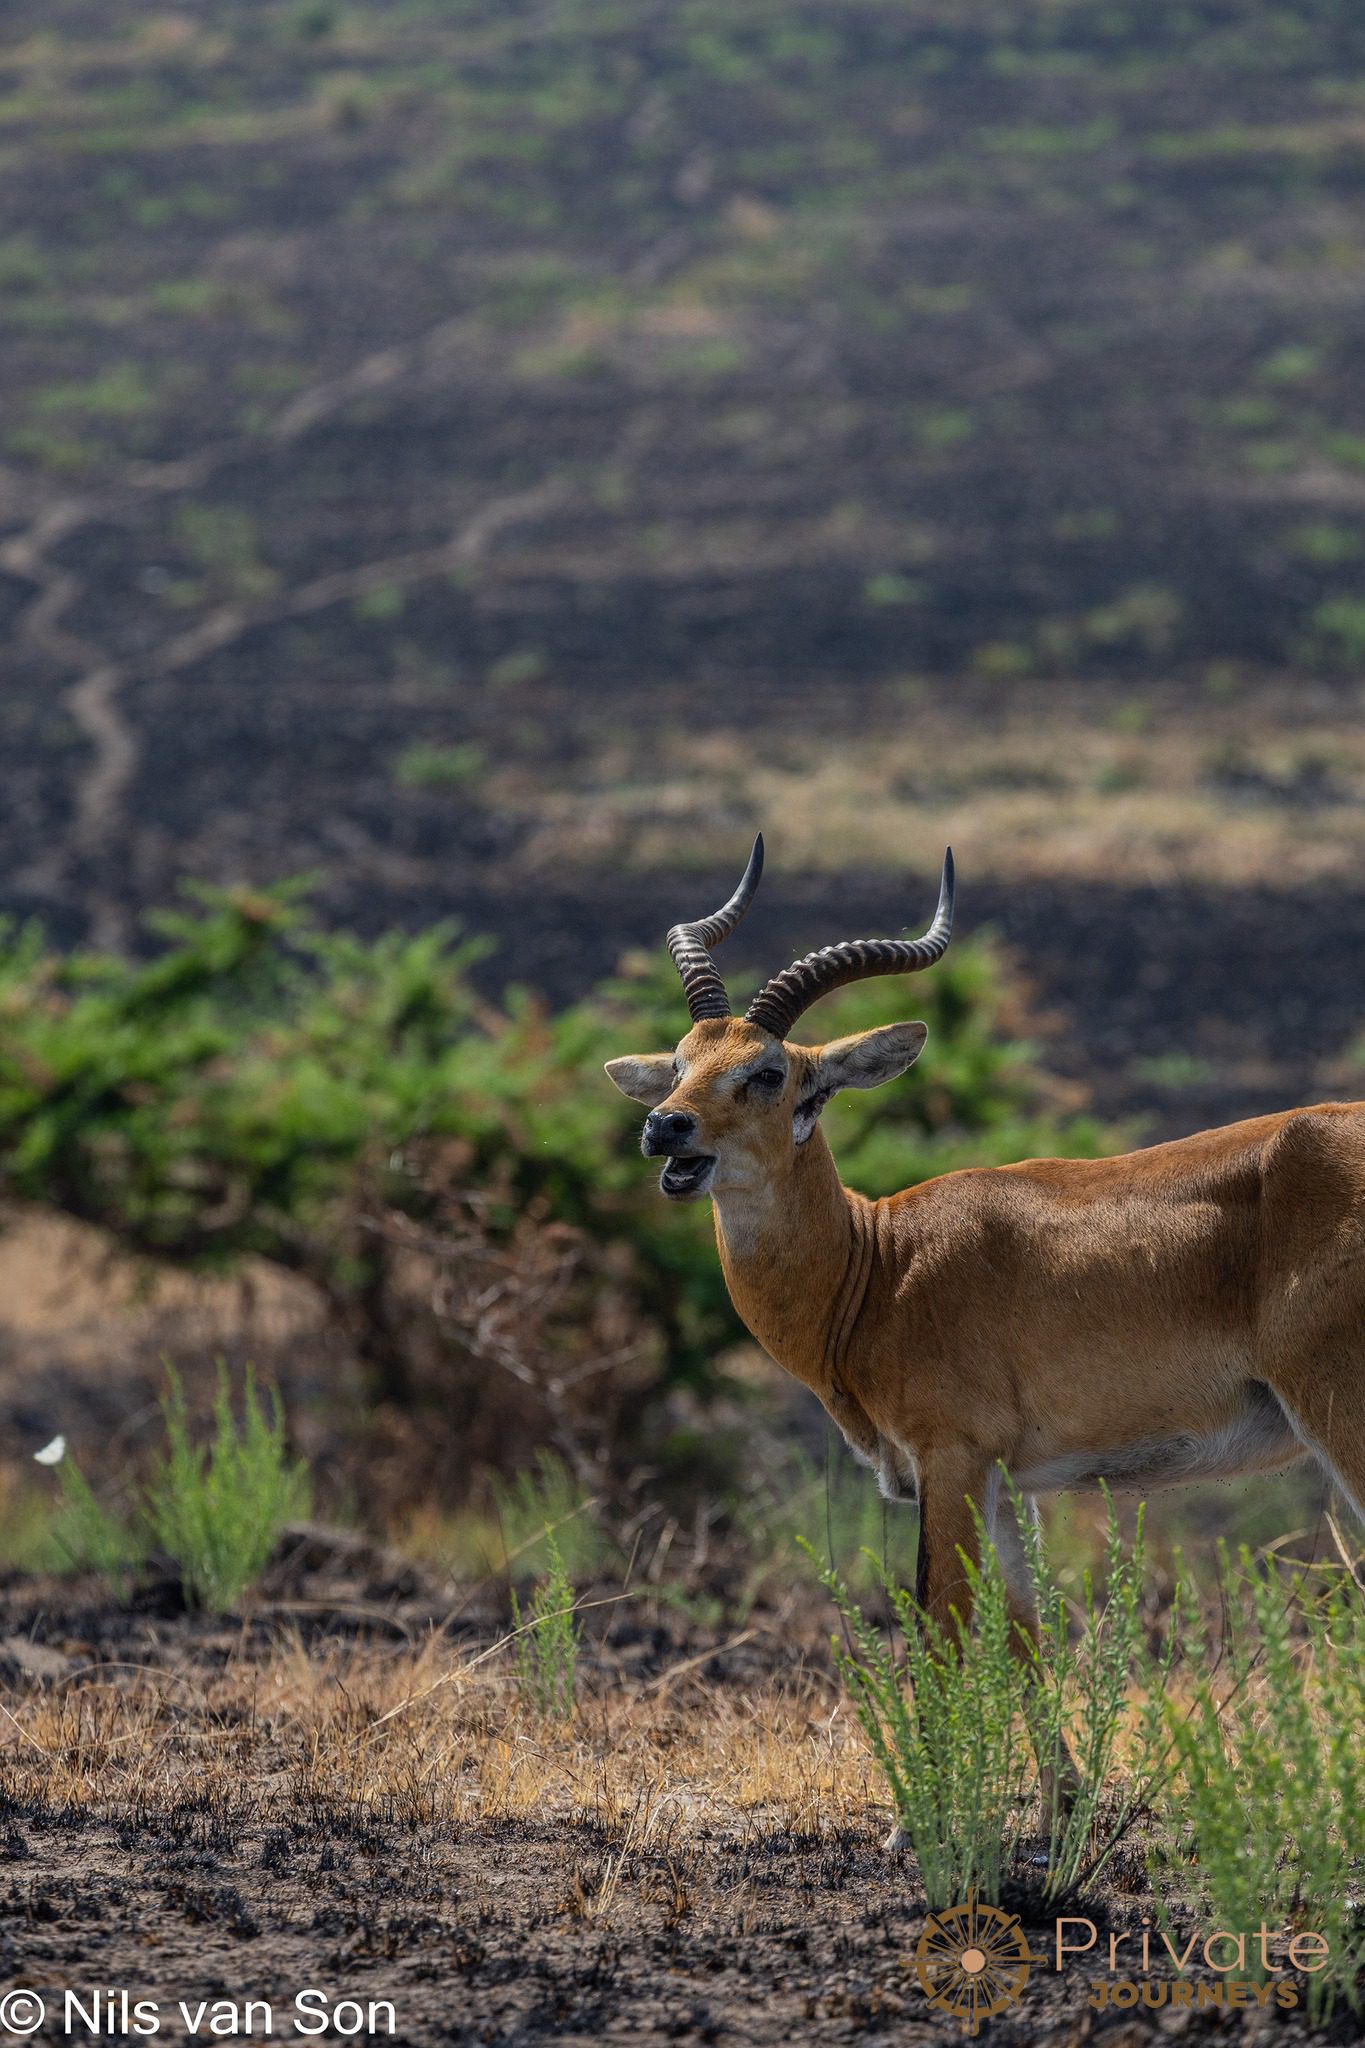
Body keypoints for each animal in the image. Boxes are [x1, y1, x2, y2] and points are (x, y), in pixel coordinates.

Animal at [609, 831, 1365, 1679]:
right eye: (679, 1064)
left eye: (767, 1072)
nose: (666, 1128)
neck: (877, 1265)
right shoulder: (1008, 1481)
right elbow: (1026, 1643)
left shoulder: (951, 1459)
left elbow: (942, 1633)